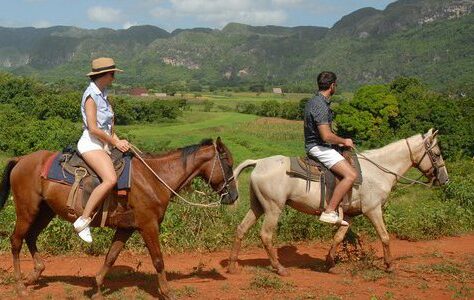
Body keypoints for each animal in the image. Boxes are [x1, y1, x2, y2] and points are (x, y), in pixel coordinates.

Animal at [0, 137, 237, 298]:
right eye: (228, 163)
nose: (234, 196)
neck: (154, 178)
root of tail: (21, 160)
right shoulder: (148, 225)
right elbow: (158, 260)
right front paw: (167, 292)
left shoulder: (126, 227)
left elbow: (111, 257)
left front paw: (96, 288)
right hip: (27, 210)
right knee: (16, 240)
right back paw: (20, 286)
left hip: (45, 211)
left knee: (31, 236)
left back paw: (35, 274)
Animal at [229, 129, 448, 274]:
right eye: (437, 154)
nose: (445, 179)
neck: (378, 170)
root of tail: (258, 162)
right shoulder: (373, 210)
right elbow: (384, 236)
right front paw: (389, 265)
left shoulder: (348, 215)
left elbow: (338, 237)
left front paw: (330, 262)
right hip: (273, 208)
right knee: (266, 235)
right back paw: (279, 268)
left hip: (257, 206)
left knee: (240, 229)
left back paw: (233, 265)